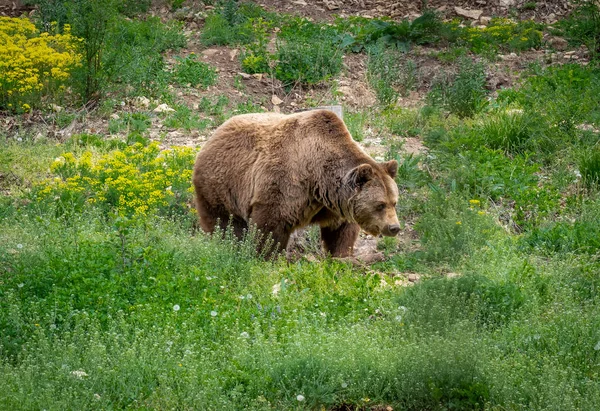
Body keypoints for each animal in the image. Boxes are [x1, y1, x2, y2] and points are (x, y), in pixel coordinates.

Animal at [193, 109, 398, 258]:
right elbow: (270, 227)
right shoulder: (286, 184)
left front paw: (341, 256)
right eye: (380, 204)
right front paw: (265, 256)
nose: (394, 227)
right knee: (224, 223)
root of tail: (216, 132)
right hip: (223, 185)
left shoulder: (336, 203)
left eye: (394, 202)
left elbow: (341, 232)